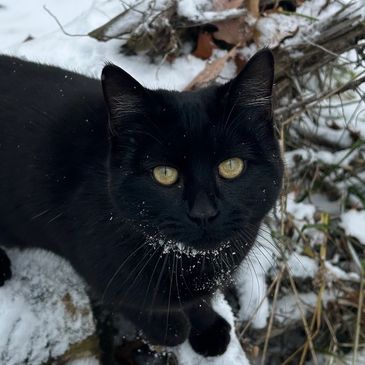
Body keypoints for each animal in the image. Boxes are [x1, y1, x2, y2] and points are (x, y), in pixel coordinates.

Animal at [0, 49, 282, 360]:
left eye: (231, 166)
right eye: (164, 174)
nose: (203, 213)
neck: (189, 262)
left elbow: (195, 302)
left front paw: (208, 330)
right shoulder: (99, 274)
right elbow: (157, 316)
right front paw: (172, 329)